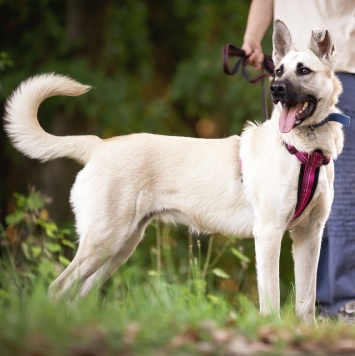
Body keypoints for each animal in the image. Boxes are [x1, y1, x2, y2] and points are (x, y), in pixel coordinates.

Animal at [2, 20, 348, 324]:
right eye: (278, 70)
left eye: (303, 70)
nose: (275, 89)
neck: (305, 152)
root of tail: (99, 145)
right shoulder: (268, 234)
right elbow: (271, 299)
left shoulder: (309, 236)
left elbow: (306, 301)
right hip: (104, 240)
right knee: (56, 288)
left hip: (119, 247)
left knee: (77, 294)